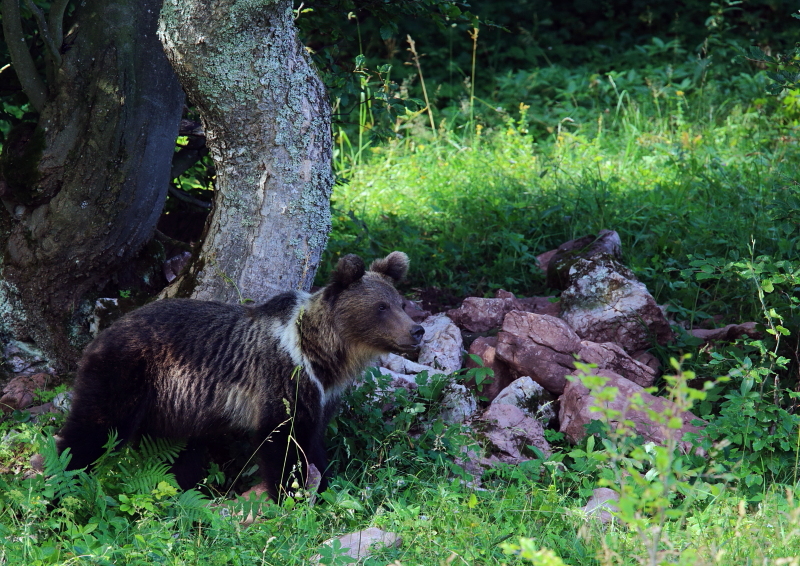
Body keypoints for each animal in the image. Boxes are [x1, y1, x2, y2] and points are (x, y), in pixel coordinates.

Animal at [56, 253, 422, 502]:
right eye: (381, 307)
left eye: (401, 303)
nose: (416, 331)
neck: (320, 354)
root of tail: (101, 335)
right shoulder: (281, 378)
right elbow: (282, 441)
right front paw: (289, 496)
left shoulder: (320, 394)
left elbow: (312, 443)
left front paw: (324, 486)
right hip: (126, 373)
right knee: (93, 429)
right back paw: (62, 478)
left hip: (173, 404)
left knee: (177, 454)